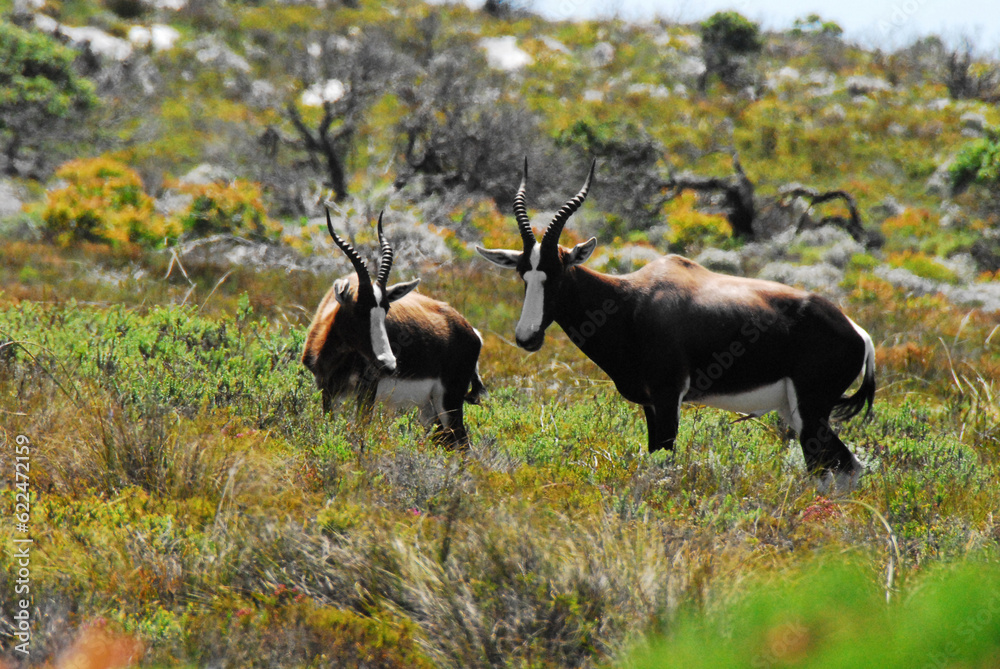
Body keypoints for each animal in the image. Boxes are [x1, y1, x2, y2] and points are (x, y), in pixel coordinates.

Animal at [302, 209, 485, 448]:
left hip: (449, 401)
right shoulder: (327, 392)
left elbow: (361, 429)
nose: (388, 364)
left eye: (386, 309)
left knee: (461, 444)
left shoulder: (367, 391)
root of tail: (471, 331)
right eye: (358, 309)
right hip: (428, 407)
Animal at [477, 161, 875, 486]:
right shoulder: (650, 406)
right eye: (523, 274)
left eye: (557, 274)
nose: (527, 337)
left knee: (833, 468)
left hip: (811, 412)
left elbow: (667, 462)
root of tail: (858, 332)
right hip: (796, 412)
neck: (631, 300)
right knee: (845, 467)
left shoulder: (669, 398)